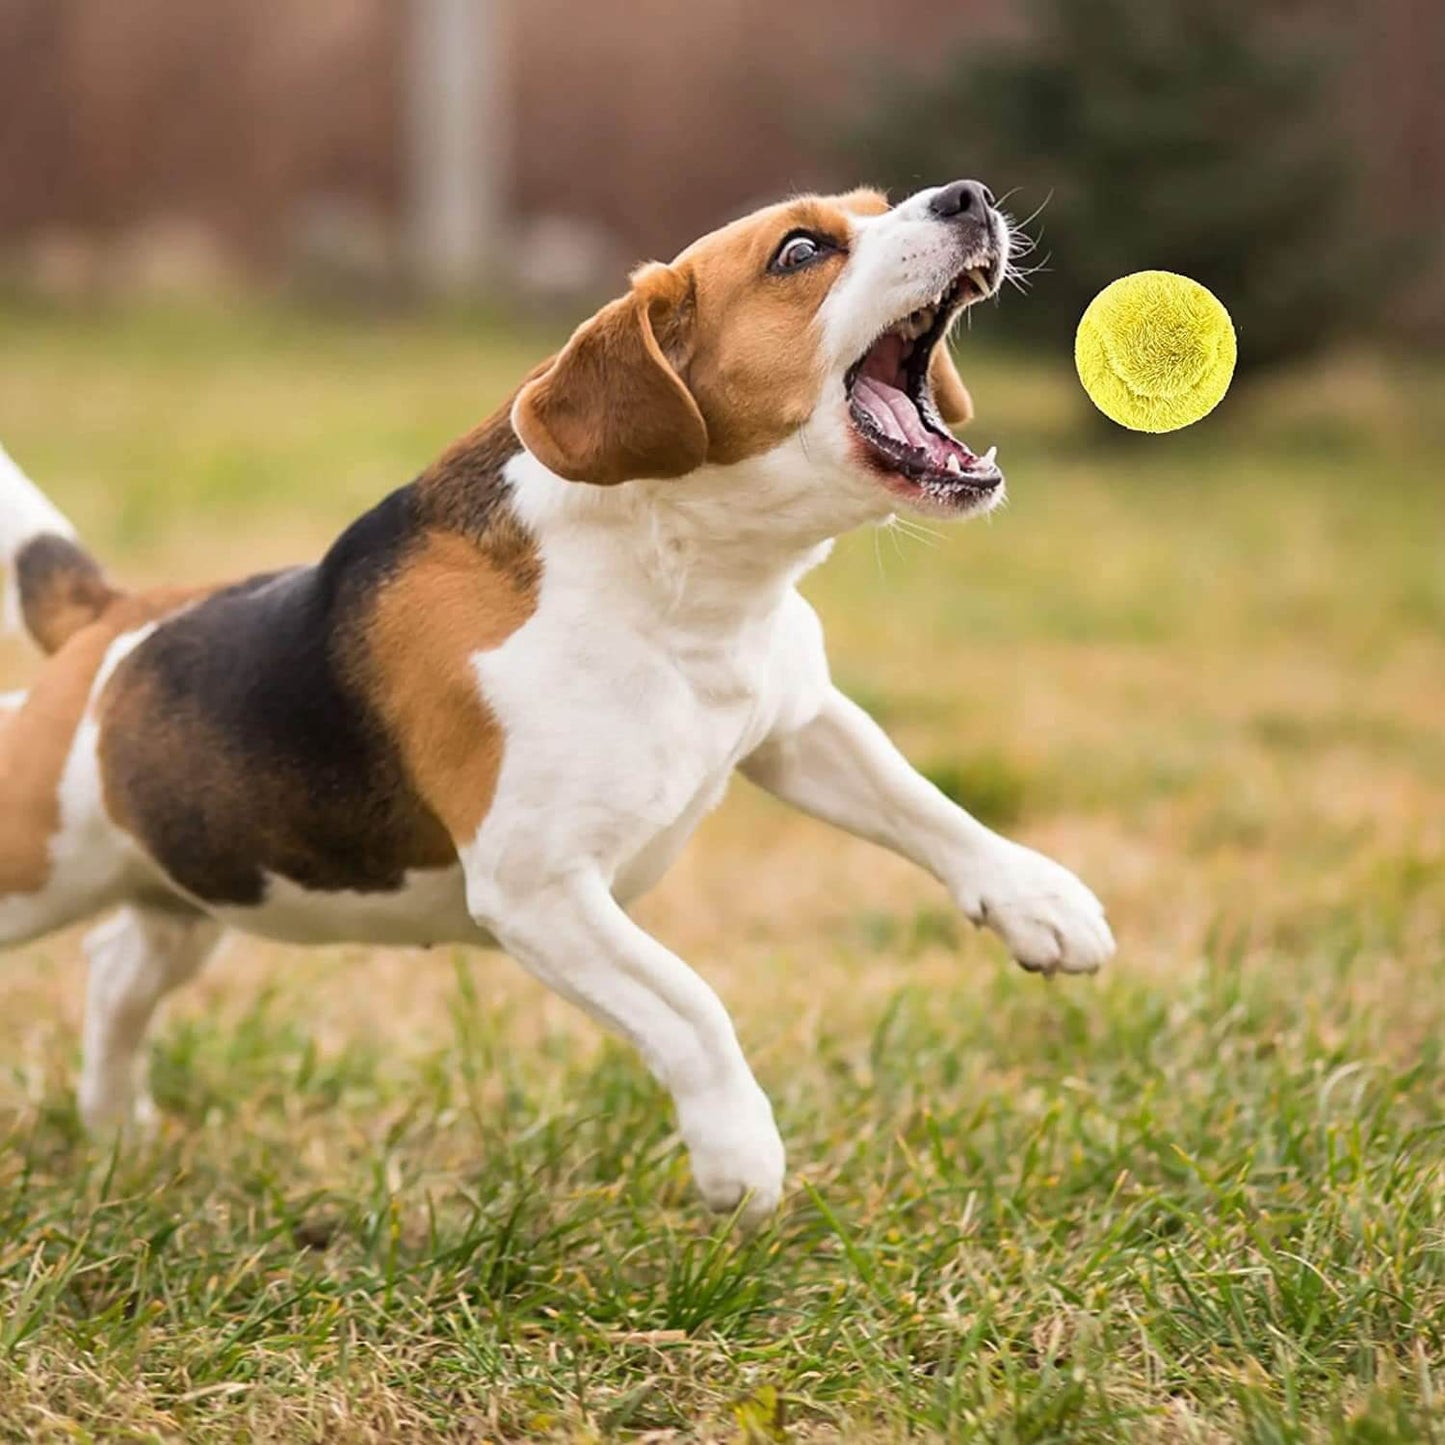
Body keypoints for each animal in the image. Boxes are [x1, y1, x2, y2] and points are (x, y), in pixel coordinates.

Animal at [0, 177, 1109, 1219]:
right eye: (800, 250)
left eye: (878, 207)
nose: (968, 197)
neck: (685, 584)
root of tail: (109, 619)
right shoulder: (539, 887)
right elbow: (690, 1003)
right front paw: (738, 1153)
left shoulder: (795, 723)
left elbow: (926, 806)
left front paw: (1041, 902)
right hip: (43, 871)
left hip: (197, 885)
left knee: (115, 963)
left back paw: (115, 1126)